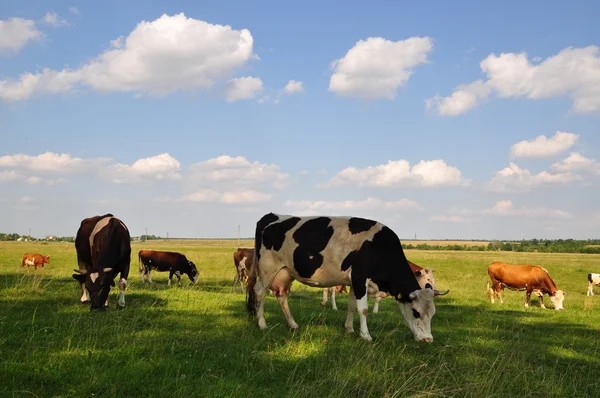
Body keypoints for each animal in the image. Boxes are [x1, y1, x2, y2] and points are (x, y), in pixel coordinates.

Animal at [246, 213, 448, 344]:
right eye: (416, 312)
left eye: (432, 313)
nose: (428, 339)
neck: (377, 247)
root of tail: (271, 216)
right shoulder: (360, 279)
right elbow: (363, 309)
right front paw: (365, 335)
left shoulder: (353, 282)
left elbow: (351, 306)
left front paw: (349, 329)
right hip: (267, 269)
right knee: (260, 292)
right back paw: (262, 323)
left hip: (286, 273)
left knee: (281, 296)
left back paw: (293, 324)